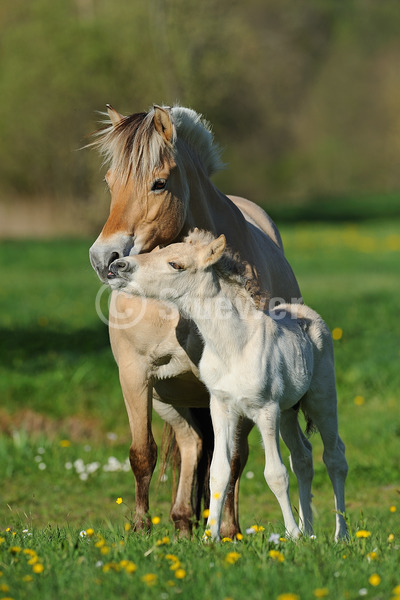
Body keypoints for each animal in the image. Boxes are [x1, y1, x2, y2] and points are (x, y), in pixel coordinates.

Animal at [87, 105, 300, 536]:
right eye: (109, 182)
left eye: (159, 183)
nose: (104, 259)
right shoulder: (134, 374)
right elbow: (143, 453)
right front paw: (140, 528)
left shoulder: (237, 386)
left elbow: (232, 459)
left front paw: (226, 530)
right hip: (169, 397)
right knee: (191, 445)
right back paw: (182, 522)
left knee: (228, 455)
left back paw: (220, 526)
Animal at [108, 232, 348, 540]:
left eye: (176, 264)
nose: (118, 265)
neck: (234, 345)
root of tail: (308, 313)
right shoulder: (222, 407)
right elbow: (219, 471)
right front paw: (210, 536)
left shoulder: (266, 410)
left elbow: (275, 474)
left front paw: (291, 535)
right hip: (289, 411)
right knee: (303, 458)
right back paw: (309, 532)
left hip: (321, 399)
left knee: (334, 457)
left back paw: (339, 535)